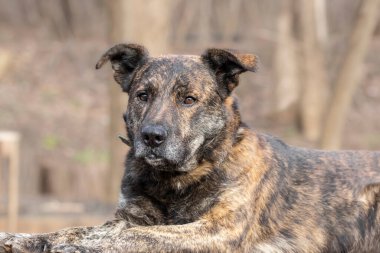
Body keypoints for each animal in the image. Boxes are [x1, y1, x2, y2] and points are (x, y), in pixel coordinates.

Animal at [0, 44, 380, 252]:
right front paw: (23, 237)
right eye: (143, 95)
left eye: (188, 99)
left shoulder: (217, 231)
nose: (152, 136)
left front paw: (76, 248)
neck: (178, 179)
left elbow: (140, 238)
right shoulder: (129, 216)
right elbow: (76, 228)